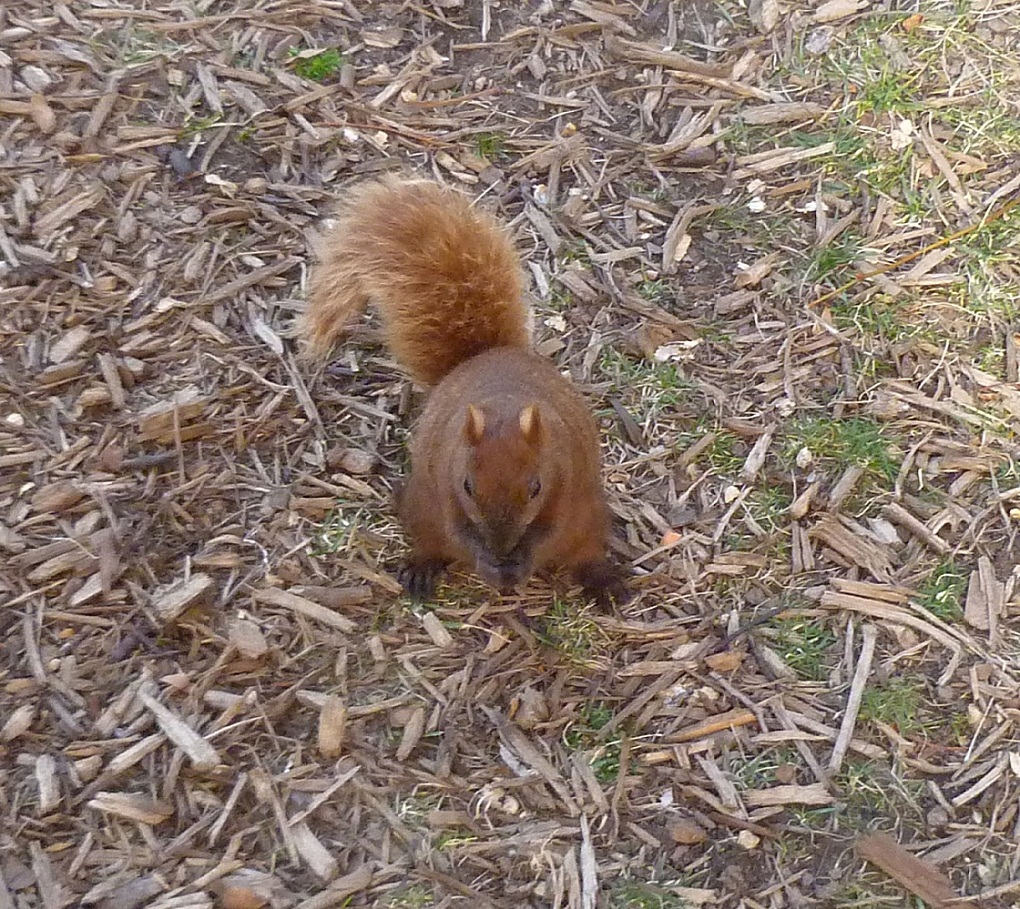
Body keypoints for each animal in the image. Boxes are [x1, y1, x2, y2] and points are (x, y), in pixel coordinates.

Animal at [301, 175, 629, 607]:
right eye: (468, 486)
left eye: (536, 487)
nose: (501, 548)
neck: (505, 406)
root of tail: (485, 355)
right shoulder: (445, 478)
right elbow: (459, 530)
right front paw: (487, 561)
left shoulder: (566, 476)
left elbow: (548, 533)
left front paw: (519, 561)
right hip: (422, 510)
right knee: (431, 541)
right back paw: (421, 569)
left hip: (589, 517)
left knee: (584, 553)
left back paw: (603, 581)